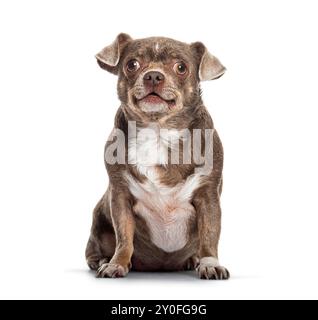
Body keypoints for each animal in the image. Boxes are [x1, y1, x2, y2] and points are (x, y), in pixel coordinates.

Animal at [84, 31, 229, 278]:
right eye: (132, 64)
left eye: (181, 67)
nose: (153, 75)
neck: (158, 131)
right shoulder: (120, 196)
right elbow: (124, 237)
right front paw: (117, 263)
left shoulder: (208, 197)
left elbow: (210, 235)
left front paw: (210, 263)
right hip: (99, 217)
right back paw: (102, 259)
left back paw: (193, 260)